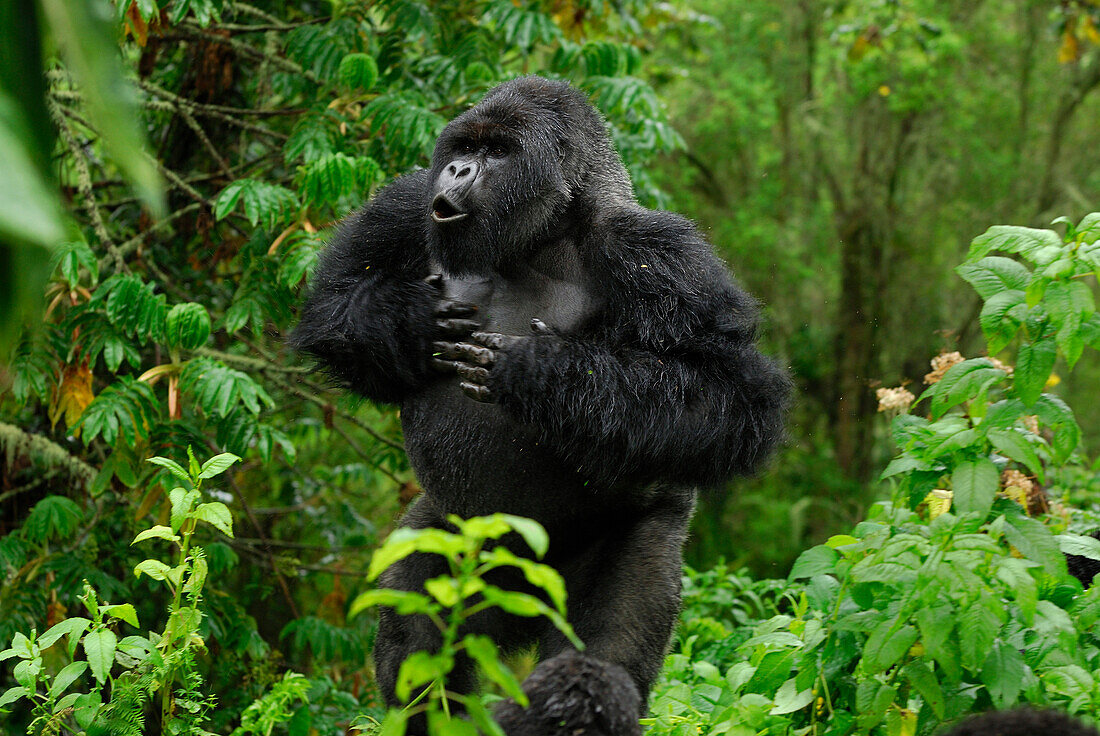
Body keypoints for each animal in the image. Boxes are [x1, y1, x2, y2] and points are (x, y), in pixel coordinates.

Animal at [292, 75, 792, 730]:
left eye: (498, 152)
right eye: (465, 147)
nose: (457, 169)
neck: (542, 234)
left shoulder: (658, 252)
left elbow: (733, 395)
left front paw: (539, 371)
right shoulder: (403, 204)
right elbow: (335, 307)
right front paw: (412, 322)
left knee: (599, 659)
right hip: (460, 541)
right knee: (419, 646)